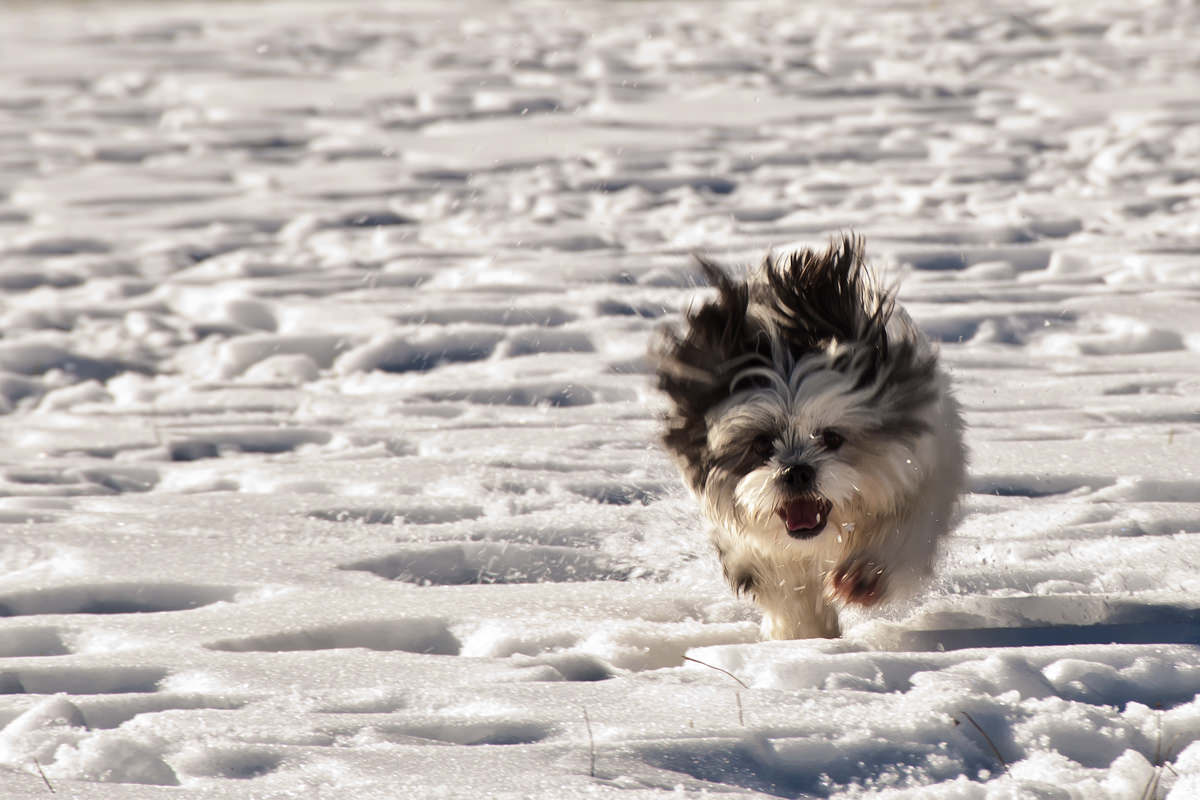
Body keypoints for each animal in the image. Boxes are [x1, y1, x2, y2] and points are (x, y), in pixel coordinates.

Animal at [652, 235, 960, 642]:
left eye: (831, 437)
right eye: (761, 444)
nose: (796, 471)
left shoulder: (926, 468)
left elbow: (908, 524)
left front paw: (866, 574)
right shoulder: (746, 543)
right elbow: (782, 586)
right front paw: (805, 636)